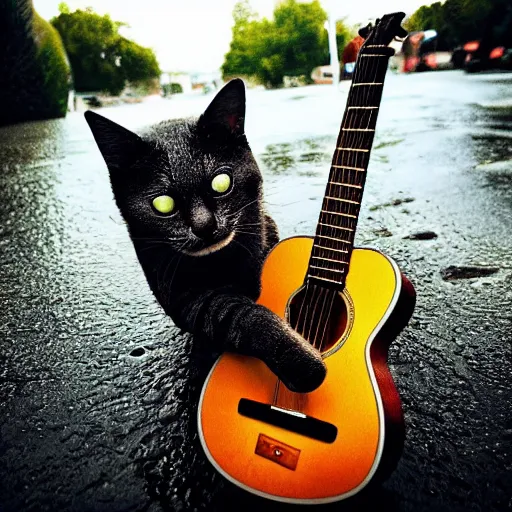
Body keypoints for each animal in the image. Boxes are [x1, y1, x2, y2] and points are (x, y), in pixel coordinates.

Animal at [83, 79, 324, 392]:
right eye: (163, 204)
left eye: (221, 183)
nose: (204, 226)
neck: (221, 262)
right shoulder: (184, 299)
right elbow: (237, 315)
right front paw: (300, 362)